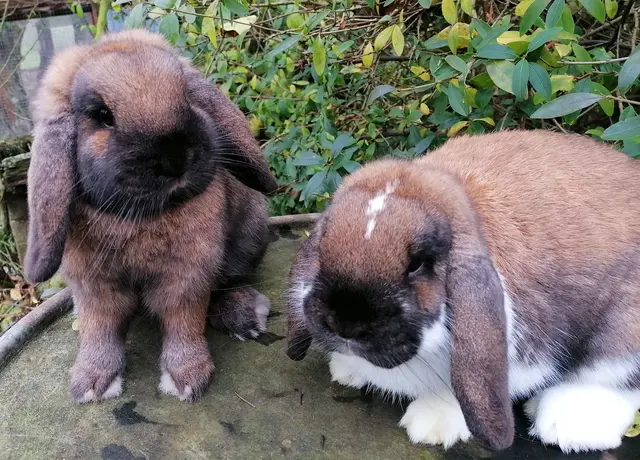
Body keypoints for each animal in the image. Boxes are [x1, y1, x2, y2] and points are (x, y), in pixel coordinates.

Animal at [24, 29, 278, 403]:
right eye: (103, 115)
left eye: (186, 95)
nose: (176, 158)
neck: (140, 217)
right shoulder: (94, 286)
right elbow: (99, 328)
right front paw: (91, 384)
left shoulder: (187, 275)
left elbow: (183, 320)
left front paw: (187, 378)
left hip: (250, 235)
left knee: (233, 281)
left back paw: (244, 317)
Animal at [285, 129, 640, 454]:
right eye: (324, 244)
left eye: (418, 263)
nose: (344, 323)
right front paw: (345, 371)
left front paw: (430, 425)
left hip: (623, 330)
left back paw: (564, 426)